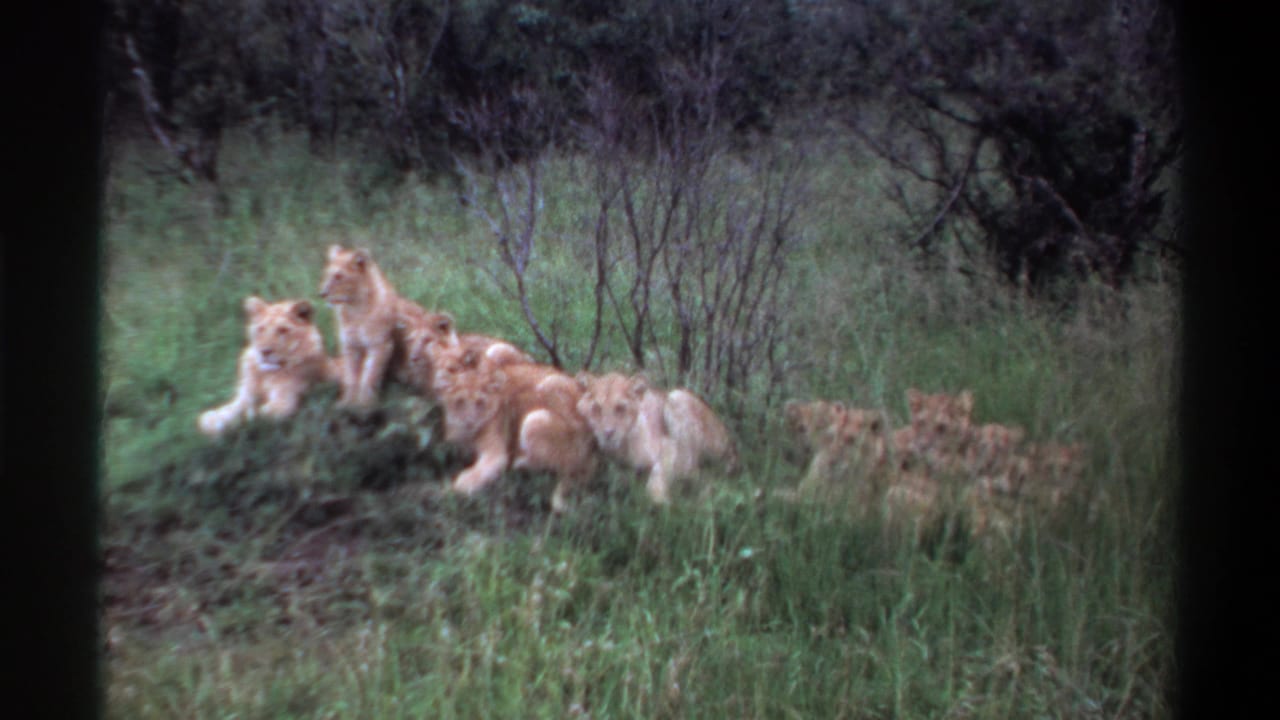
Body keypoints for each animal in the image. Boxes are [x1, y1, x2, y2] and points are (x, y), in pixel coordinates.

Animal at [198, 297, 337, 437]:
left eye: (283, 330)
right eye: (261, 329)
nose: (264, 351)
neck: (265, 374)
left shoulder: (283, 404)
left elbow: (256, 416)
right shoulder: (245, 396)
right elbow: (232, 410)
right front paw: (211, 420)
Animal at [319, 244, 426, 407]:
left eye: (339, 276)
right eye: (327, 275)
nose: (322, 293)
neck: (354, 310)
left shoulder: (380, 344)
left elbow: (369, 374)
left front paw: (364, 403)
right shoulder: (349, 345)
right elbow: (351, 376)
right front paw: (347, 402)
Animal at [435, 346, 598, 510]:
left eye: (480, 403)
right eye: (459, 402)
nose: (469, 422)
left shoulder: (496, 454)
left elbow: (478, 473)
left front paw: (453, 488)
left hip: (535, 419)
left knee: (561, 467)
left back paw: (520, 462)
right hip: (499, 351)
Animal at [575, 372, 737, 504]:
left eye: (621, 408)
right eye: (596, 408)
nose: (608, 433)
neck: (621, 448)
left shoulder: (669, 447)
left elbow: (659, 471)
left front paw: (660, 500)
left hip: (677, 398)